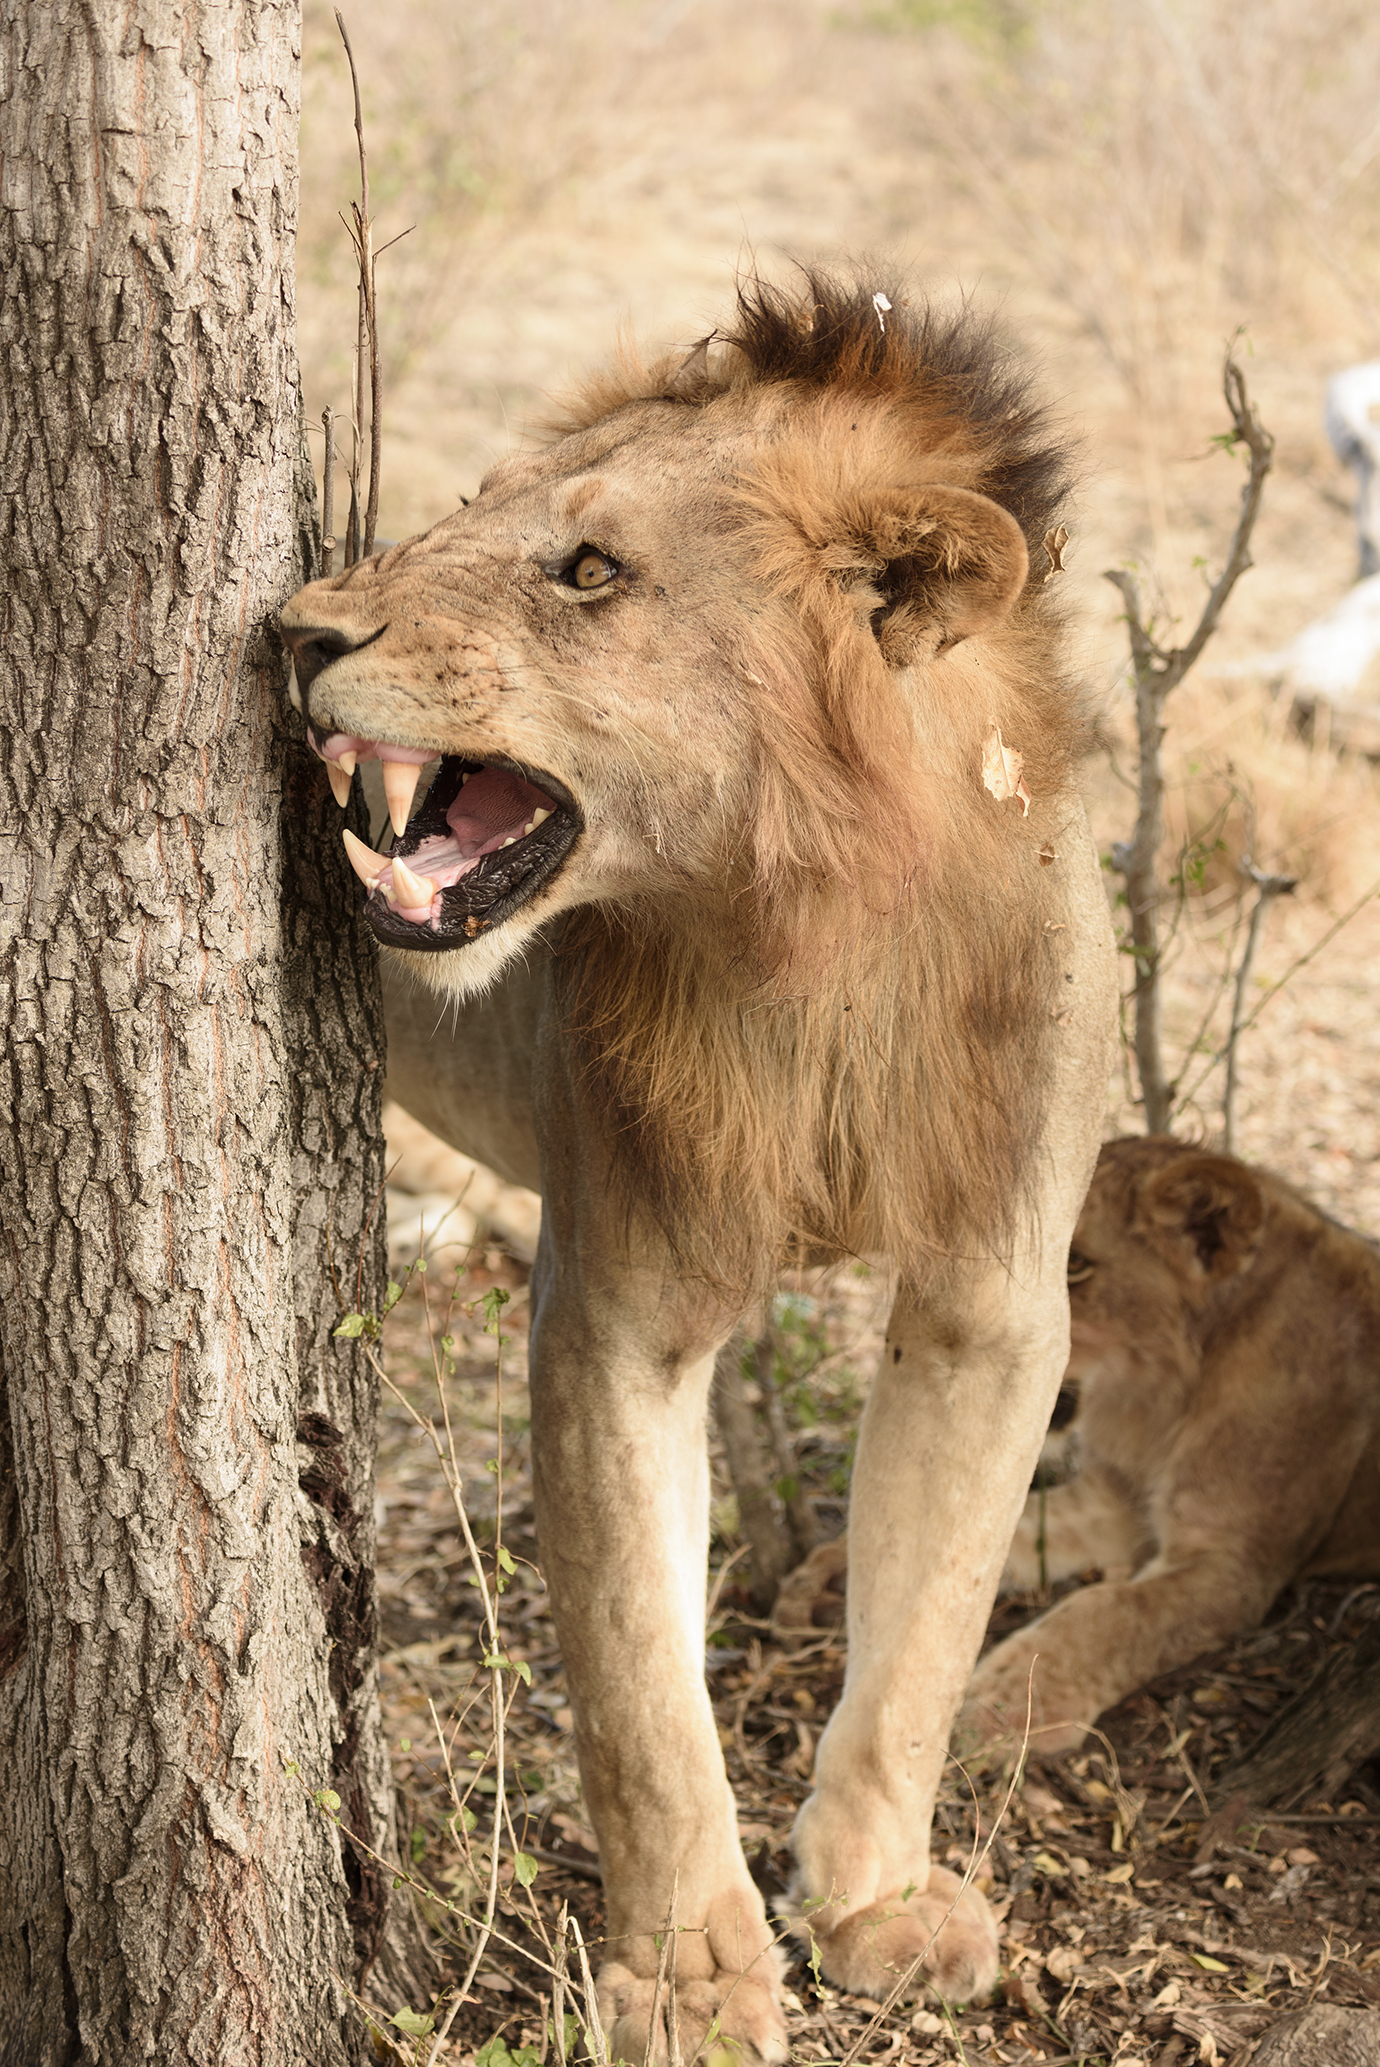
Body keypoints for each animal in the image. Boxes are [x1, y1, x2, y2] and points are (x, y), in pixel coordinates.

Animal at [279, 268, 1117, 2064]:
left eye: (590, 569)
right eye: (471, 507)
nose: (298, 632)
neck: (803, 935)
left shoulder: (995, 1297)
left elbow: (930, 1624)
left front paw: (874, 1896)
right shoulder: (619, 1311)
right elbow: (638, 1682)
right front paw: (685, 1971)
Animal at [778, 1136, 1380, 1764]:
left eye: (1074, 1263)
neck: (1161, 1399)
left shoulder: (1234, 1563)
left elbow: (1110, 1610)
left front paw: (1004, 1706)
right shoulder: (1114, 1503)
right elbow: (1001, 1537)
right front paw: (838, 1578)